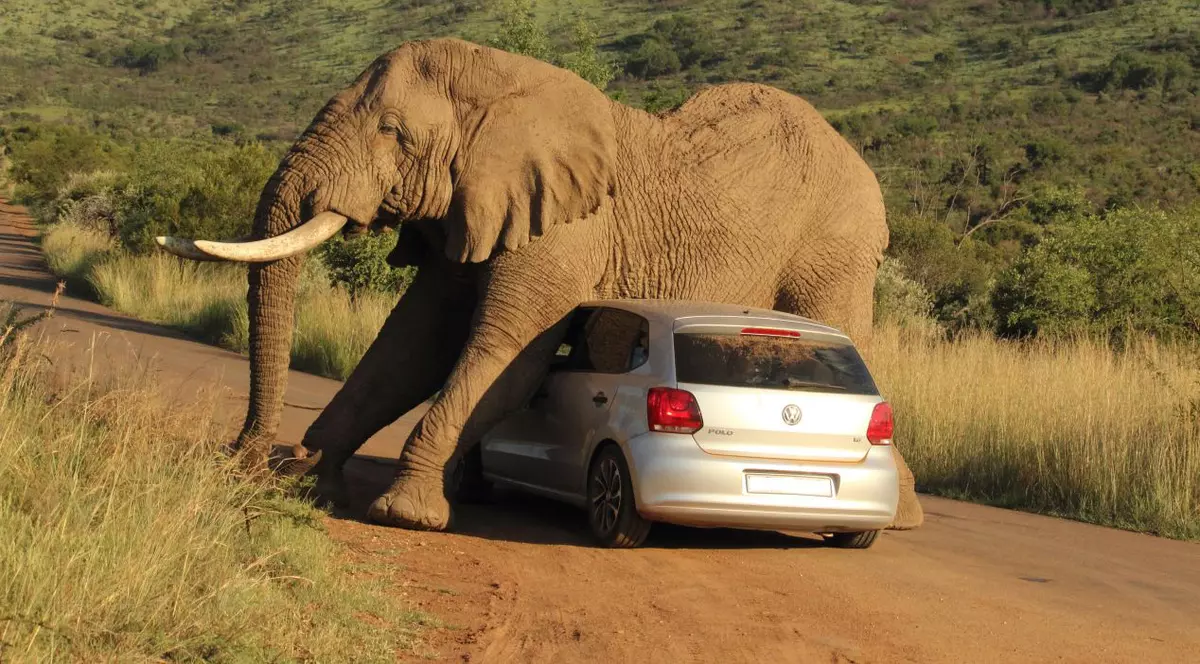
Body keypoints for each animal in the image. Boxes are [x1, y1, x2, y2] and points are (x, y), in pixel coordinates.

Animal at [158, 38, 923, 533]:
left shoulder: (566, 229)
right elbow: (411, 348)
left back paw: (903, 514)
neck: (507, 85)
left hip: (835, 245)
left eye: (392, 131)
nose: (244, 460)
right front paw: (314, 480)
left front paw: (405, 513)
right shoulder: (473, 208)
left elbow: (506, 353)